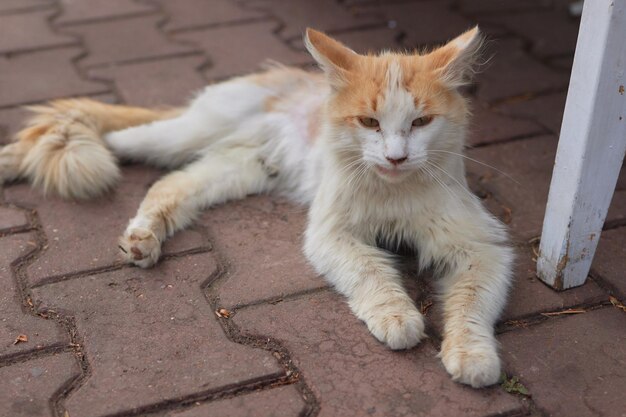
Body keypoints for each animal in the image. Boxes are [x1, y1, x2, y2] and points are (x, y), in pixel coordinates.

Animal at [0, 27, 512, 388]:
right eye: (369, 122)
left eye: (421, 122)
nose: (396, 157)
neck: (393, 191)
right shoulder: (332, 234)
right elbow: (372, 274)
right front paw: (398, 319)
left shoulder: (482, 246)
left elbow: (472, 304)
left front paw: (473, 356)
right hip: (176, 135)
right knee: (100, 132)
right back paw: (9, 163)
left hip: (232, 170)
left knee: (168, 184)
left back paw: (143, 240)